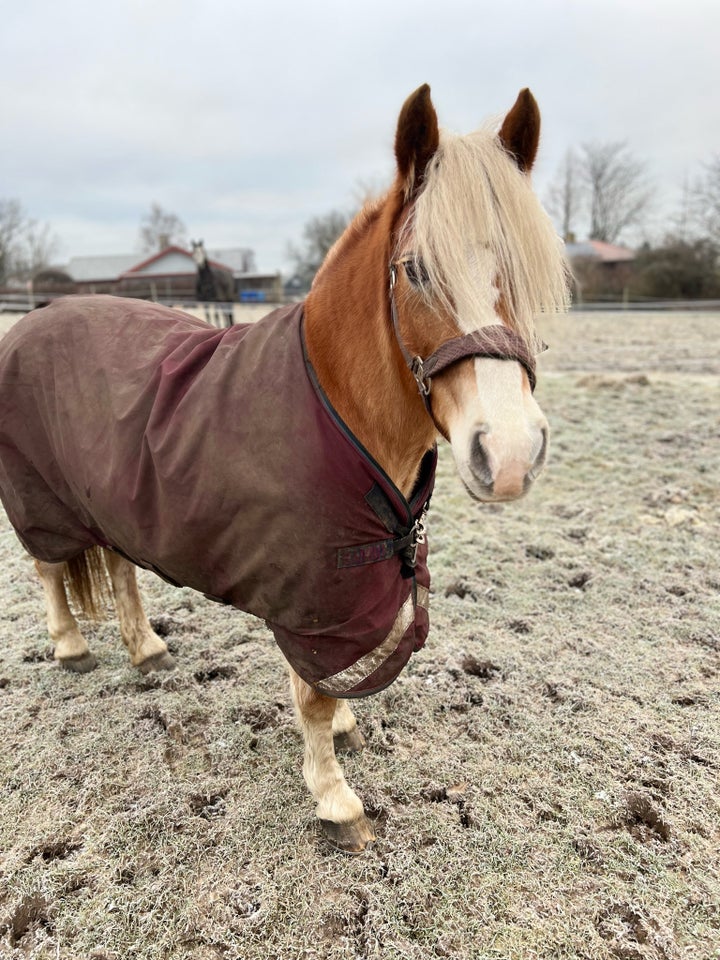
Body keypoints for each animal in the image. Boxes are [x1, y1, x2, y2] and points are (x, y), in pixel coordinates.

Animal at [0, 88, 568, 856]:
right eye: (416, 269)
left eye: (526, 269)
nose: (509, 454)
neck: (334, 399)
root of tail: (32, 320)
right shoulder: (309, 598)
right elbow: (314, 694)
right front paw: (335, 800)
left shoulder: (348, 591)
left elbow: (343, 674)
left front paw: (348, 731)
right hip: (42, 501)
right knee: (49, 570)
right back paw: (70, 648)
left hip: (108, 501)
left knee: (117, 569)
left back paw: (146, 651)